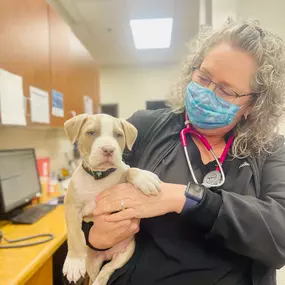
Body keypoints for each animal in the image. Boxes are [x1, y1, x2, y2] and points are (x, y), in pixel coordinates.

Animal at [62, 113, 160, 284]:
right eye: (91, 133)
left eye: (118, 135)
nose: (108, 149)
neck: (99, 177)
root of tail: (106, 254)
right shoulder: (71, 206)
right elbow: (75, 233)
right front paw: (74, 262)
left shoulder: (122, 173)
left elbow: (130, 169)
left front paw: (144, 178)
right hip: (92, 262)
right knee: (95, 273)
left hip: (125, 253)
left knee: (107, 269)